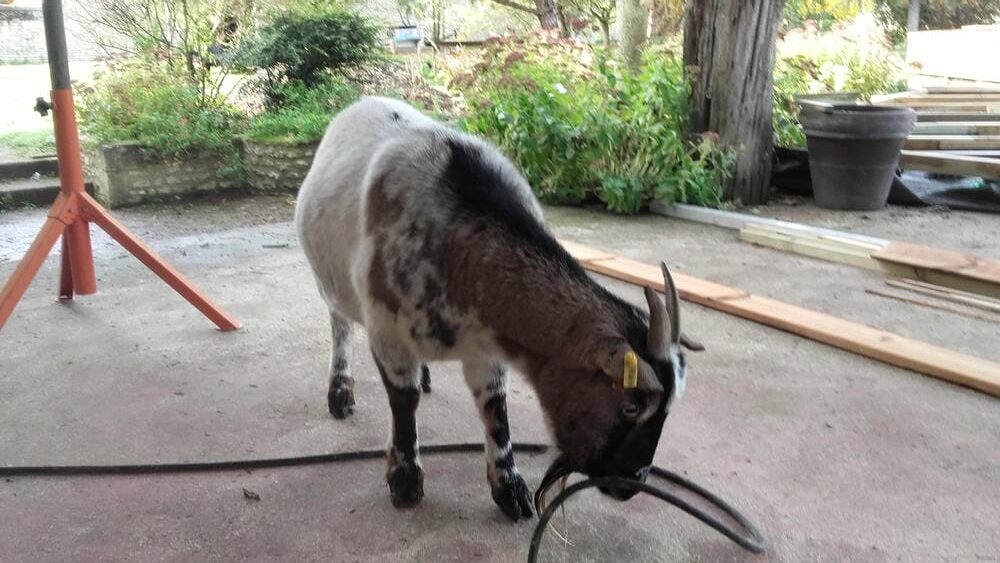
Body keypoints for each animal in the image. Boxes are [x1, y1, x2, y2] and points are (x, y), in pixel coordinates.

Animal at [295, 97, 698, 521]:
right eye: (631, 405)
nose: (633, 483)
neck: (460, 255)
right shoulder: (389, 332)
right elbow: (404, 402)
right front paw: (405, 480)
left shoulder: (486, 347)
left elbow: (495, 410)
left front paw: (510, 489)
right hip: (330, 281)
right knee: (339, 323)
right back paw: (340, 391)